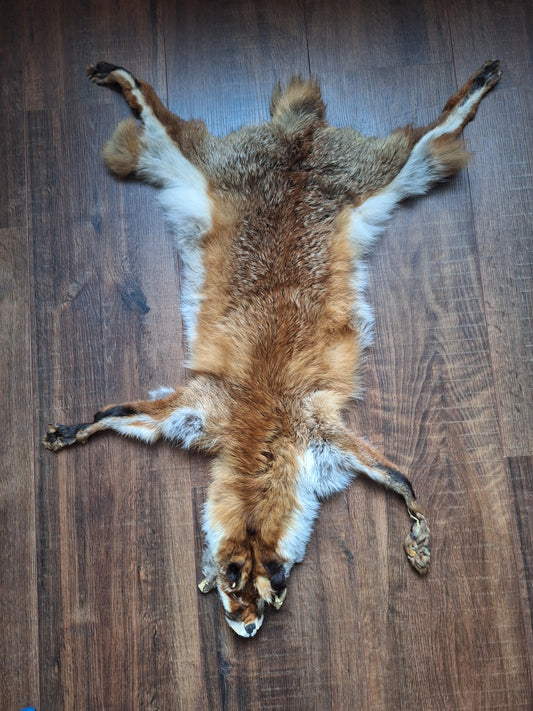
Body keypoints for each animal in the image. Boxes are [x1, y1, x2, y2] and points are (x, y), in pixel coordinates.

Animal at [43, 60, 501, 637]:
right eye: (233, 586)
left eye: (267, 597)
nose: (247, 632)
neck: (262, 427)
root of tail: (299, 139)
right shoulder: (203, 408)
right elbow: (112, 413)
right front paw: (72, 430)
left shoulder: (322, 434)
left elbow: (403, 480)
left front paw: (419, 537)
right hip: (193, 169)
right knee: (156, 113)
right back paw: (118, 75)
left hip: (389, 178)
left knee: (436, 130)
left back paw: (478, 85)